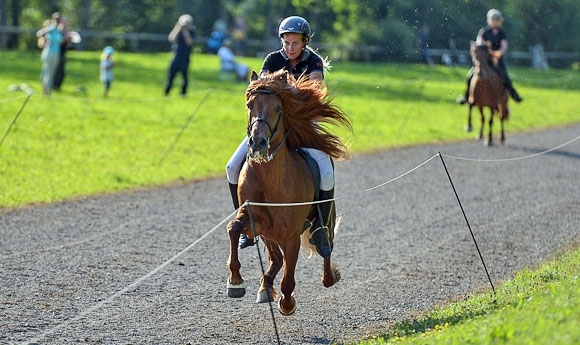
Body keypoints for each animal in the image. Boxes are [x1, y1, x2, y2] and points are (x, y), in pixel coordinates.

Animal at [227, 70, 354, 314]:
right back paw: (265, 287)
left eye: (278, 108)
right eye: (249, 105)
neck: (269, 177)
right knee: (275, 258)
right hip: (268, 233)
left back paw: (329, 276)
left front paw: (287, 303)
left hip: (323, 224)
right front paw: (235, 281)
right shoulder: (255, 220)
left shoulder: (292, 236)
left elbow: (289, 277)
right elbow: (233, 228)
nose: (258, 142)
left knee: (325, 249)